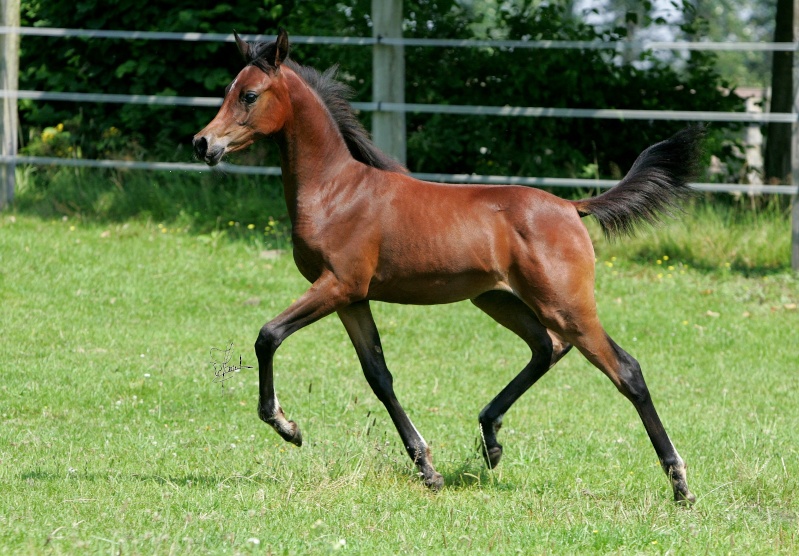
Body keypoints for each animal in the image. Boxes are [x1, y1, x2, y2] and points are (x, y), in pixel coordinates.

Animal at [197, 29, 704, 504]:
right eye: (227, 89)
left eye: (249, 95)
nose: (203, 143)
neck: (336, 191)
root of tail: (571, 207)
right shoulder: (352, 298)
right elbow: (379, 376)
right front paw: (427, 468)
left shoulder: (337, 286)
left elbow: (268, 335)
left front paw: (287, 426)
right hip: (498, 299)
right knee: (547, 347)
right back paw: (491, 439)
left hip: (566, 304)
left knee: (626, 370)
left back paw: (680, 484)